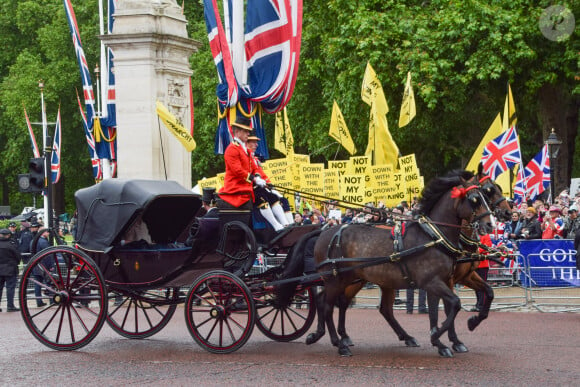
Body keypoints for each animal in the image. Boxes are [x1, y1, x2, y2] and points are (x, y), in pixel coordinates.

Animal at [306, 171, 492, 360]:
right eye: (475, 199)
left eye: (486, 196)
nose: (490, 224)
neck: (433, 237)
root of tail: (325, 232)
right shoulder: (432, 282)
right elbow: (453, 304)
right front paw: (439, 338)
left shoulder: (445, 280)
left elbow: (460, 302)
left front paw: (455, 333)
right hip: (336, 279)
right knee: (328, 306)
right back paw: (339, 344)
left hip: (351, 279)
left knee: (335, 302)